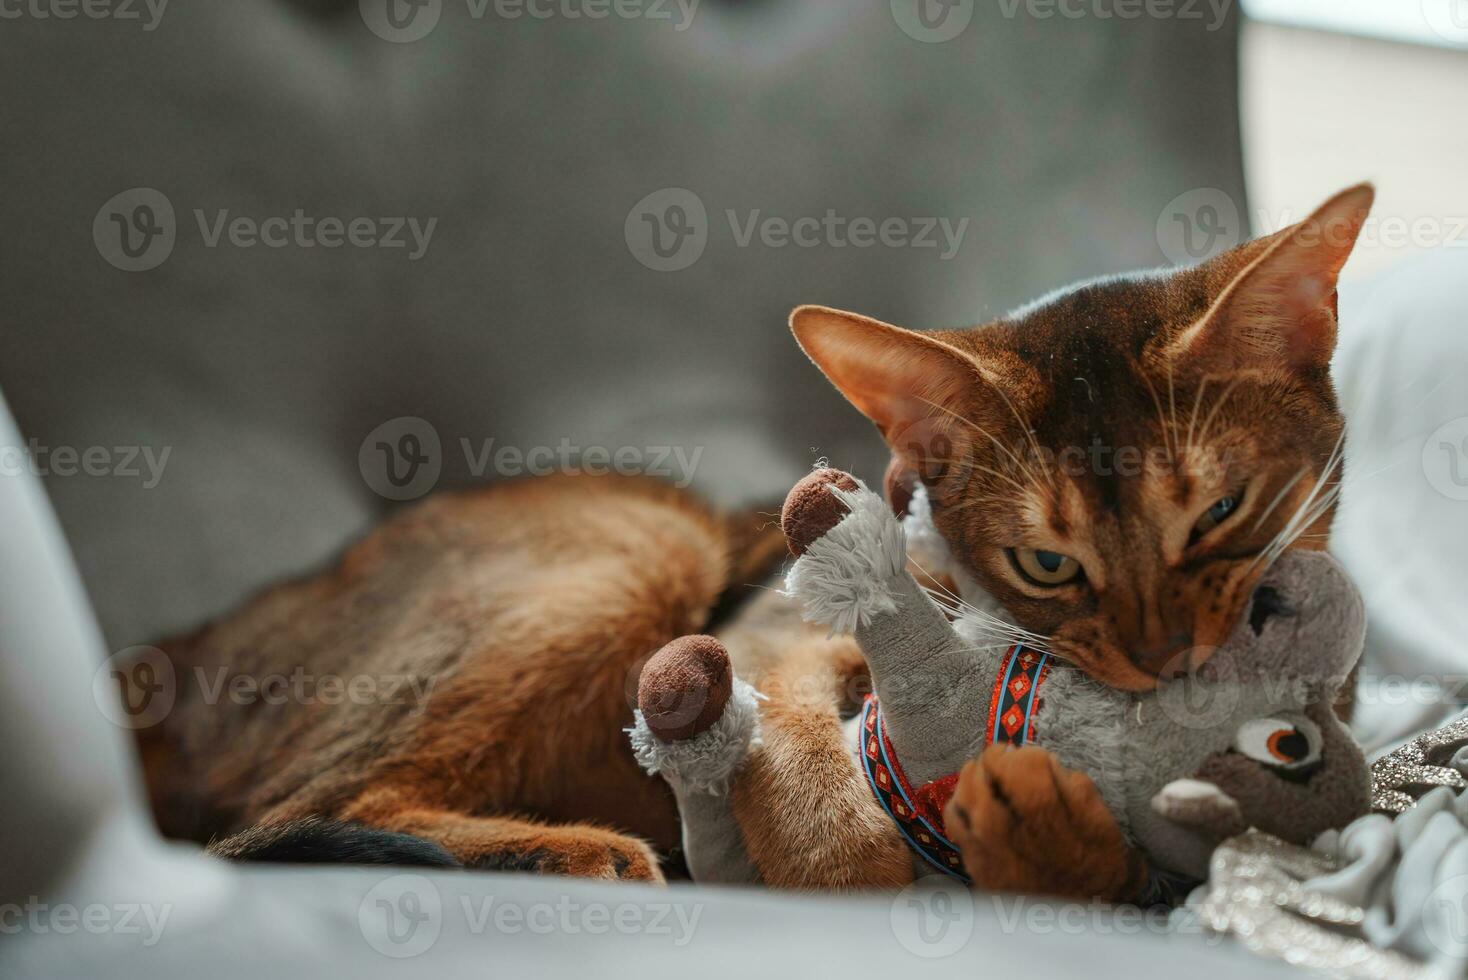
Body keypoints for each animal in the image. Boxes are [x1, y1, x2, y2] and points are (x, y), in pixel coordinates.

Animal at [129, 178, 1374, 897]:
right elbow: (806, 766)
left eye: (1219, 513)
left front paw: (1045, 832)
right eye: (1047, 563)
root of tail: (177, 649)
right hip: (638, 546)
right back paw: (579, 848)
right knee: (303, 809)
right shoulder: (766, 625)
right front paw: (845, 858)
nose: (1167, 662)